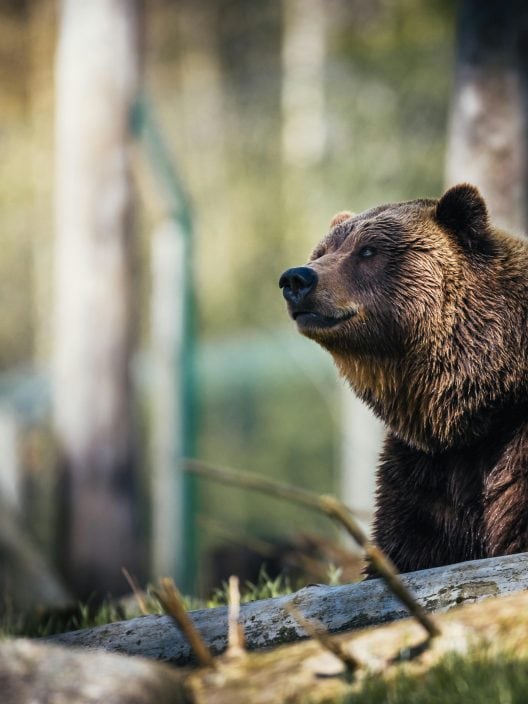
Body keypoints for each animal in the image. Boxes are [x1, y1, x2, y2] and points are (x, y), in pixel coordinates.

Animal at [280, 184, 528, 576]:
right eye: (322, 251)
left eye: (368, 250)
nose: (296, 278)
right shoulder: (425, 473)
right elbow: (407, 545)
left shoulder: (511, 448)